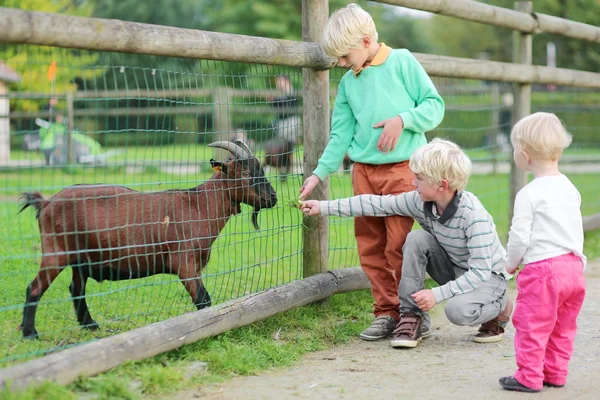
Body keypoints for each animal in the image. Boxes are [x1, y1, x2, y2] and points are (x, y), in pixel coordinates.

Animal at [18, 140, 276, 338]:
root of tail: (46, 203)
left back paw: (90, 325)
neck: (200, 205)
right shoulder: (185, 263)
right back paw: (30, 333)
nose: (272, 198)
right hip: (56, 251)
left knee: (76, 288)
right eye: (245, 173)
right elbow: (204, 300)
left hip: (80, 258)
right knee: (35, 287)